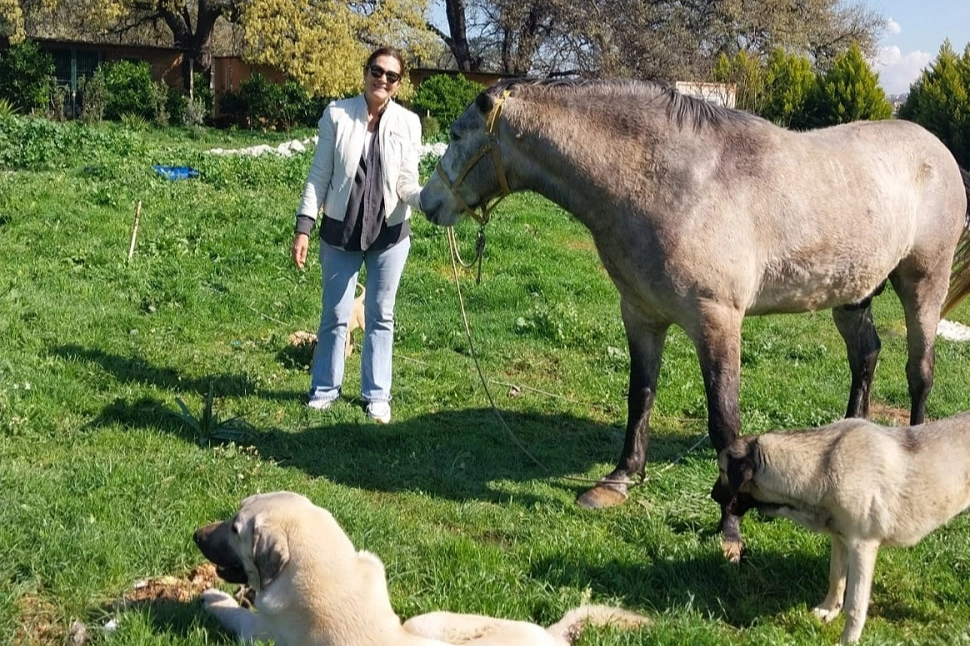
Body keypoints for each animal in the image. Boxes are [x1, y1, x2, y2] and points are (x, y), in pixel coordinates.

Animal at [194, 494, 652, 644]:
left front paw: (213, 597)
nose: (197, 535)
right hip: (431, 622)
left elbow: (236, 616)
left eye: (235, 528)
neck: (335, 575)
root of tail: (552, 637)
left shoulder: (267, 633)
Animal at [420, 79, 968, 560]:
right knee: (866, 356)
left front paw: (730, 531)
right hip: (852, 295)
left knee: (920, 373)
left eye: (456, 135)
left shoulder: (716, 321)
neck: (672, 181)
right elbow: (640, 397)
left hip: (923, 284)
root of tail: (938, 150)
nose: (427, 202)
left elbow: (725, 425)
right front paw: (618, 481)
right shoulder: (641, 315)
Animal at [720, 412, 970, 644]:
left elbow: (855, 604)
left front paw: (848, 638)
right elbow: (836, 578)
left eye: (722, 472)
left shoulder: (862, 548)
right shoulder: (840, 539)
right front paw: (828, 610)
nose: (713, 495)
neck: (824, 464)